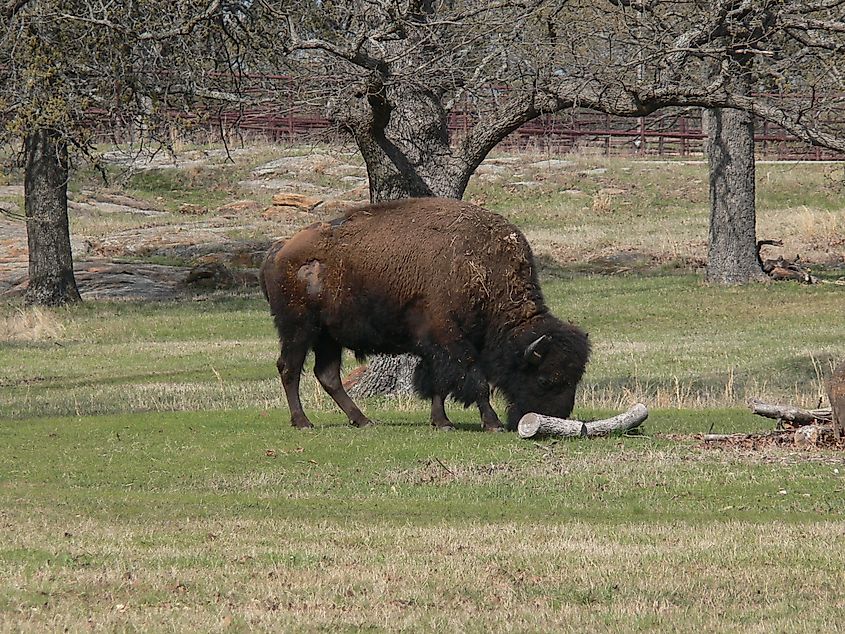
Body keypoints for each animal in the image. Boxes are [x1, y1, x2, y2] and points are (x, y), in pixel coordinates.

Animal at [259, 197, 590, 431]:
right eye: (545, 380)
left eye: (575, 379)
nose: (557, 419)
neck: (482, 270)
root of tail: (279, 249)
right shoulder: (451, 341)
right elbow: (475, 382)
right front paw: (492, 423)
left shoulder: (436, 346)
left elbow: (438, 384)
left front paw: (441, 422)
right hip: (299, 329)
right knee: (289, 369)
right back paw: (304, 422)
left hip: (329, 337)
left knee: (327, 375)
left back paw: (363, 420)